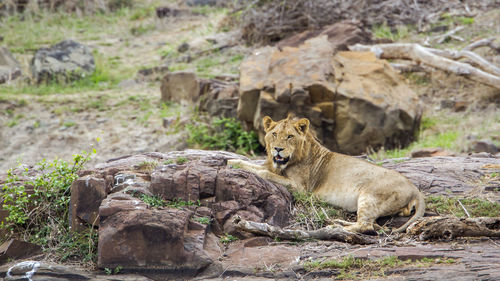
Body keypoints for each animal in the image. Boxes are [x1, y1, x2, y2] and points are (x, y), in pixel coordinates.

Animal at [229, 115, 424, 233]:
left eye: (290, 136)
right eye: (274, 134)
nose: (278, 149)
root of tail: (415, 189)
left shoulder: (301, 188)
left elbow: (264, 173)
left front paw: (235, 164)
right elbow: (256, 165)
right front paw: (233, 161)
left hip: (370, 196)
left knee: (366, 226)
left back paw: (333, 228)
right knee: (370, 224)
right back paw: (337, 222)